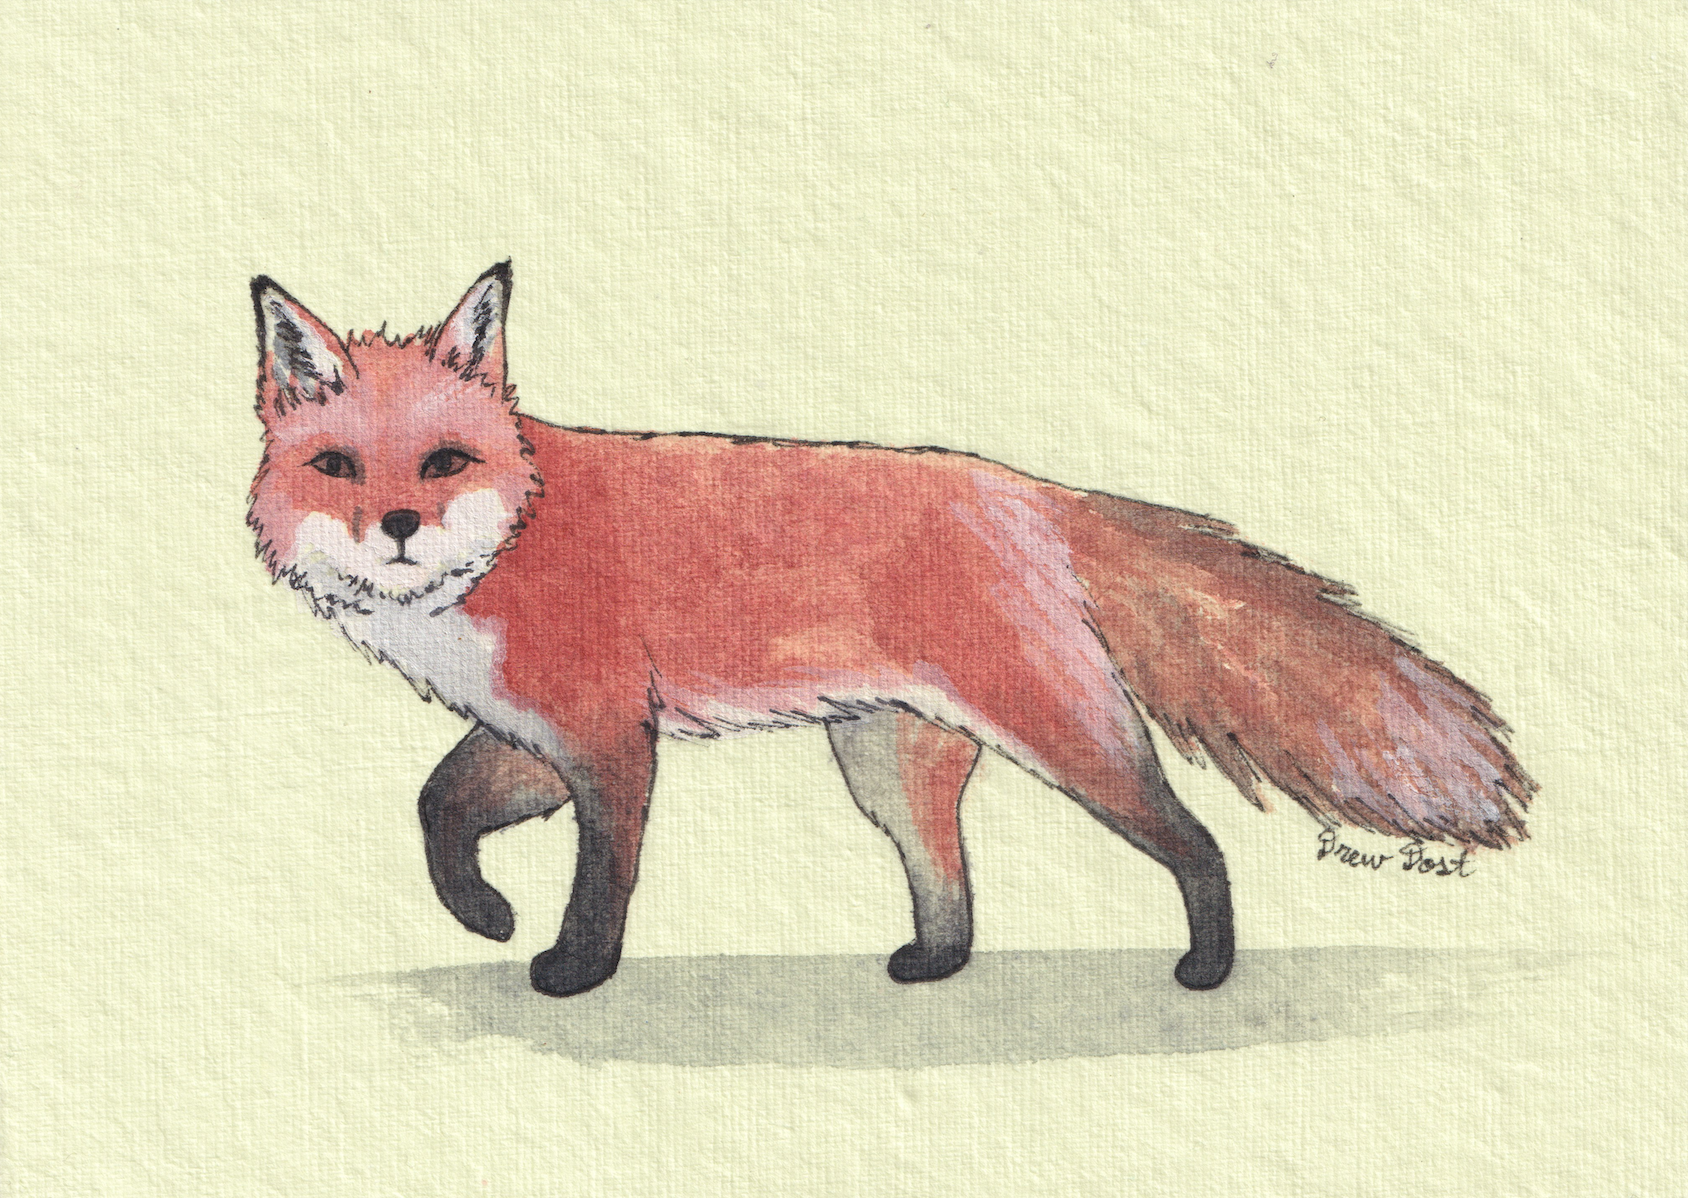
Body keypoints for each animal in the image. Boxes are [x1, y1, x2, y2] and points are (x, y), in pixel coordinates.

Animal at [248, 263, 1536, 998]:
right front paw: (483, 914)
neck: (512, 536)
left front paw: (567, 968)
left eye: (443, 461)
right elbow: (435, 809)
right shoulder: (533, 734)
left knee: (1197, 843)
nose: (398, 527)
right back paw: (930, 965)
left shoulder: (609, 740)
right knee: (949, 886)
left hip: (1070, 741)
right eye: (338, 467)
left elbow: (600, 879)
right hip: (887, 766)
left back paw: (1207, 971)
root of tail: (1023, 491)